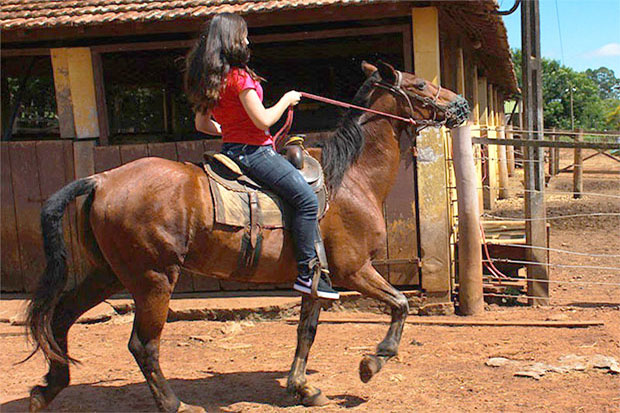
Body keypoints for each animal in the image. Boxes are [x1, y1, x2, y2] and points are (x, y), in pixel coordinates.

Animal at [26, 59, 468, 410]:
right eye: (420, 85)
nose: (460, 104)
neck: (351, 179)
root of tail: (101, 179)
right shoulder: (354, 270)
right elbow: (400, 305)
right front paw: (371, 362)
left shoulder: (317, 279)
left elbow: (306, 332)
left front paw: (303, 388)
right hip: (153, 279)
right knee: (142, 344)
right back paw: (174, 403)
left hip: (109, 273)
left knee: (60, 317)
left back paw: (47, 389)